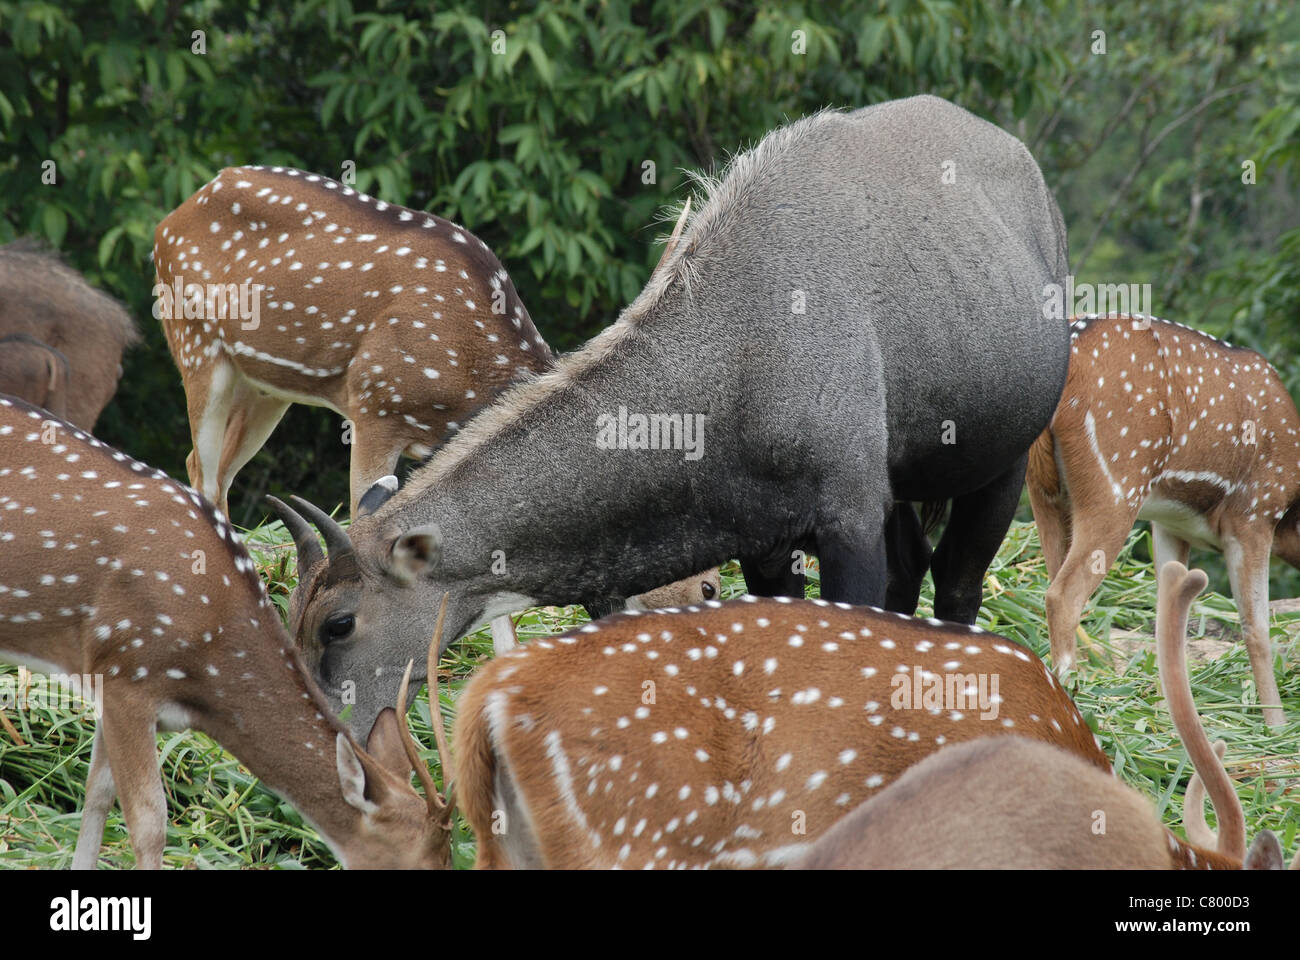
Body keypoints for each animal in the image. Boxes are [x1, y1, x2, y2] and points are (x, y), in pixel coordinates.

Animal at [276, 95, 1072, 739]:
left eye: (339, 622)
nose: (327, 737)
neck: (737, 355)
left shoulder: (847, 521)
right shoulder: (766, 544)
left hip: (998, 466)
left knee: (957, 586)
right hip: (904, 481)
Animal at [1028, 313, 1299, 725]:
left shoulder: (1170, 526)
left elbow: (1168, 621)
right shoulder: (1254, 513)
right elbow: (1257, 629)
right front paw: (1275, 726)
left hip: (1043, 491)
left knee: (1052, 578)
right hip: (1116, 483)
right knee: (1063, 594)